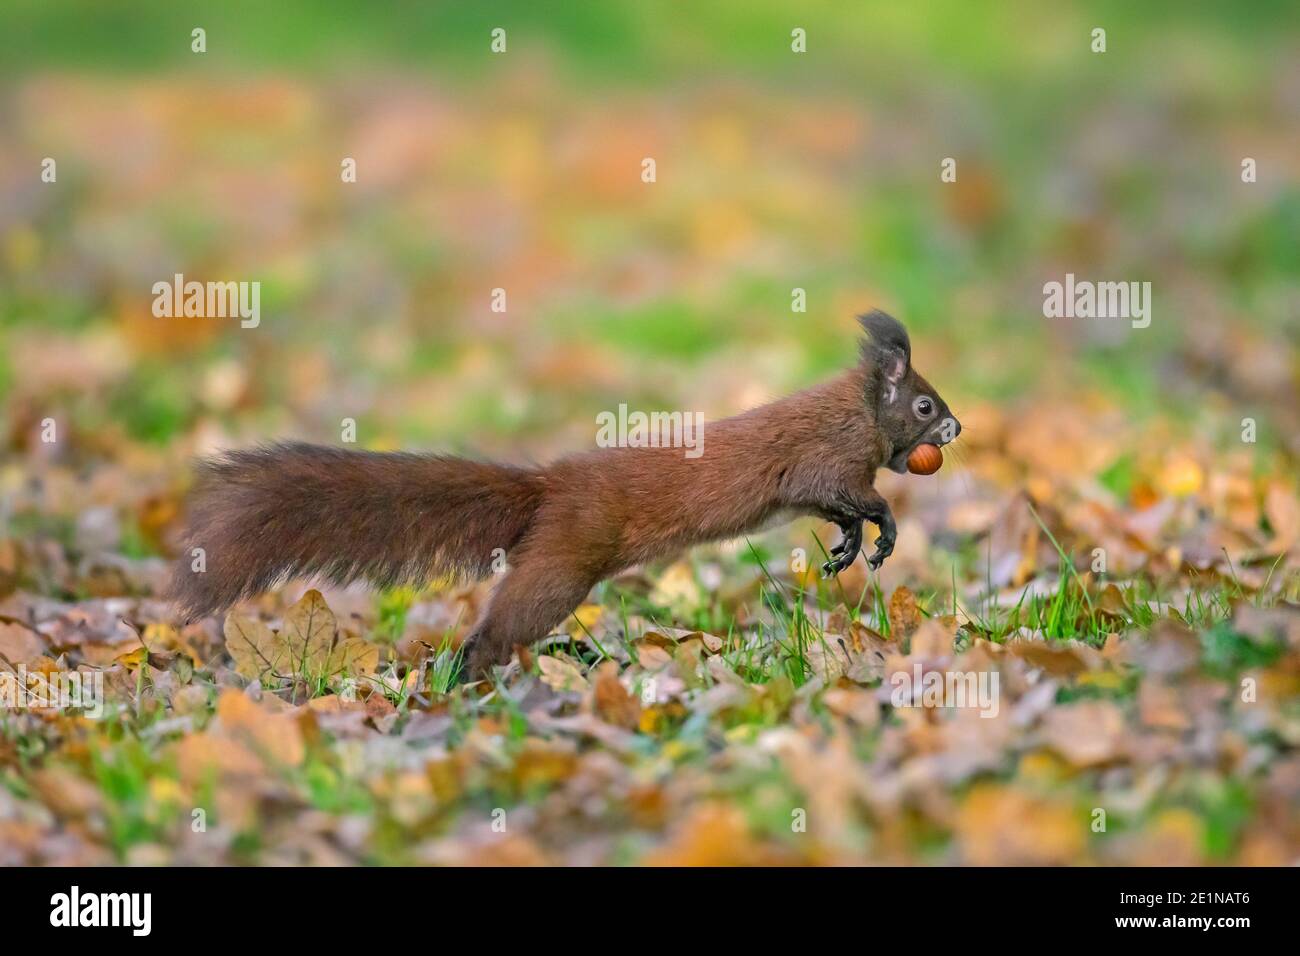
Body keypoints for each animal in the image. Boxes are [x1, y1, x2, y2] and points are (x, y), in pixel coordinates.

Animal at [167, 310, 960, 679]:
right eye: (924, 404)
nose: (956, 426)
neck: (856, 415)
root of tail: (549, 485)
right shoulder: (826, 460)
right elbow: (852, 493)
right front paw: (882, 535)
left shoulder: (824, 485)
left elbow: (838, 509)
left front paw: (847, 550)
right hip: (563, 563)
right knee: (500, 625)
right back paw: (466, 677)